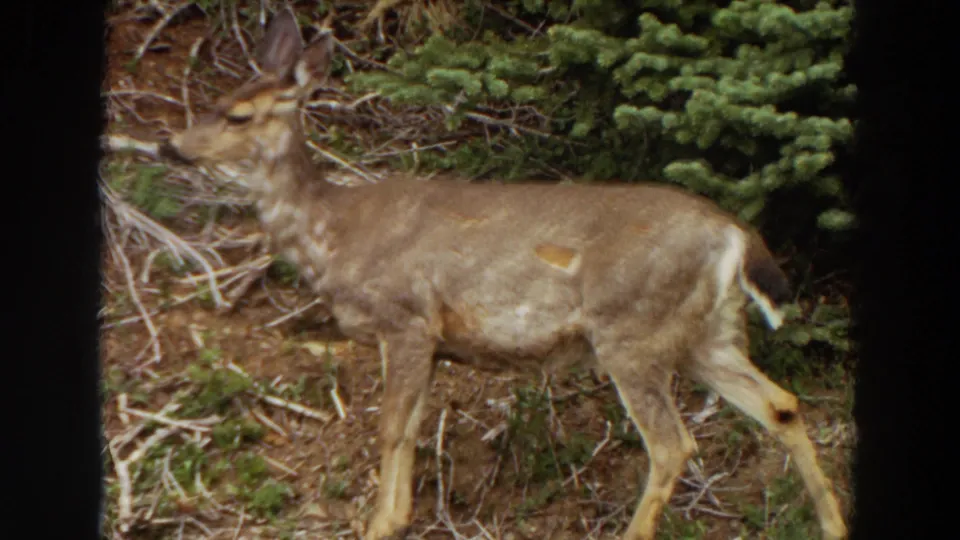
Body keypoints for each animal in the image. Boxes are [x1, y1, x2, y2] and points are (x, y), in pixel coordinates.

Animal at [160, 9, 848, 540]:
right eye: (215, 103)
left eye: (238, 116)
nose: (171, 146)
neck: (332, 235)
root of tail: (735, 234)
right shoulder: (432, 342)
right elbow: (411, 428)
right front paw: (397, 516)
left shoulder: (405, 318)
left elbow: (389, 428)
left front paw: (380, 523)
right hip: (707, 333)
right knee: (782, 405)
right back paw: (832, 524)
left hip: (631, 327)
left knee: (673, 443)